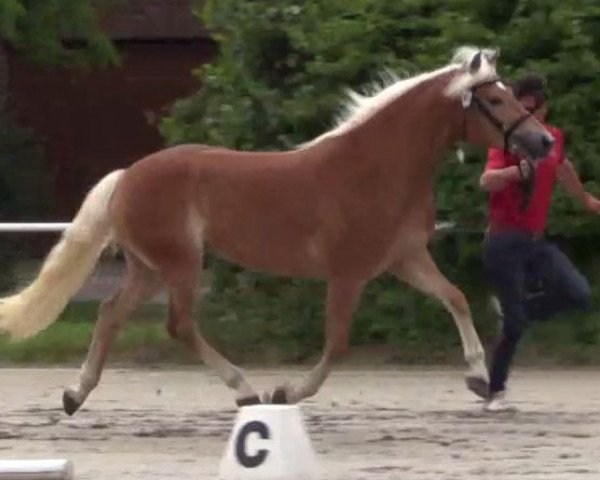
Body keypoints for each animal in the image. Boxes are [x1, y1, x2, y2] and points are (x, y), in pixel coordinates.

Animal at [0, 45, 552, 414]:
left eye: (509, 95)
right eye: (495, 101)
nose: (543, 142)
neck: (377, 168)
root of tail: (127, 176)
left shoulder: (404, 258)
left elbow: (455, 297)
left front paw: (479, 379)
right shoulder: (348, 273)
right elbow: (338, 342)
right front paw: (288, 392)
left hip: (148, 267)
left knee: (112, 314)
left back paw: (75, 395)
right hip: (180, 263)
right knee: (178, 325)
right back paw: (247, 391)